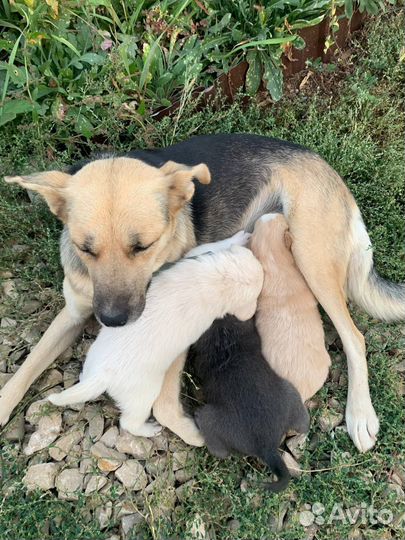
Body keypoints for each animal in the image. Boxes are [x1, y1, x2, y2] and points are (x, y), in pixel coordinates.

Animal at [49, 234, 262, 436]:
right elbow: (212, 246)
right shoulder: (197, 258)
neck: (219, 282)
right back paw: (149, 430)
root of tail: (101, 376)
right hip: (144, 395)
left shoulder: (195, 257)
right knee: (128, 423)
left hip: (93, 360)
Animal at [190, 312, 310, 494]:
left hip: (208, 417)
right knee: (304, 424)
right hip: (291, 392)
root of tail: (268, 447)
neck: (227, 343)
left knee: (220, 450)